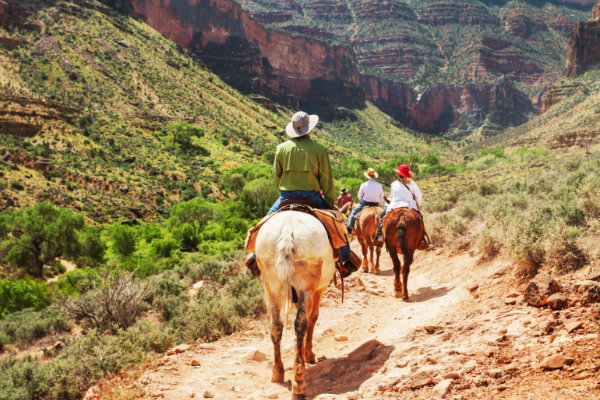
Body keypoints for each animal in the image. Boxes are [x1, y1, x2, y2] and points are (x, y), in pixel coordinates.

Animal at [254, 211, 338, 398]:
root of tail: (288, 228)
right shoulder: (319, 289)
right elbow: (314, 318)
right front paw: (309, 355)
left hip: (270, 286)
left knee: (276, 326)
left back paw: (278, 372)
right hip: (305, 286)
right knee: (301, 324)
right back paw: (299, 383)